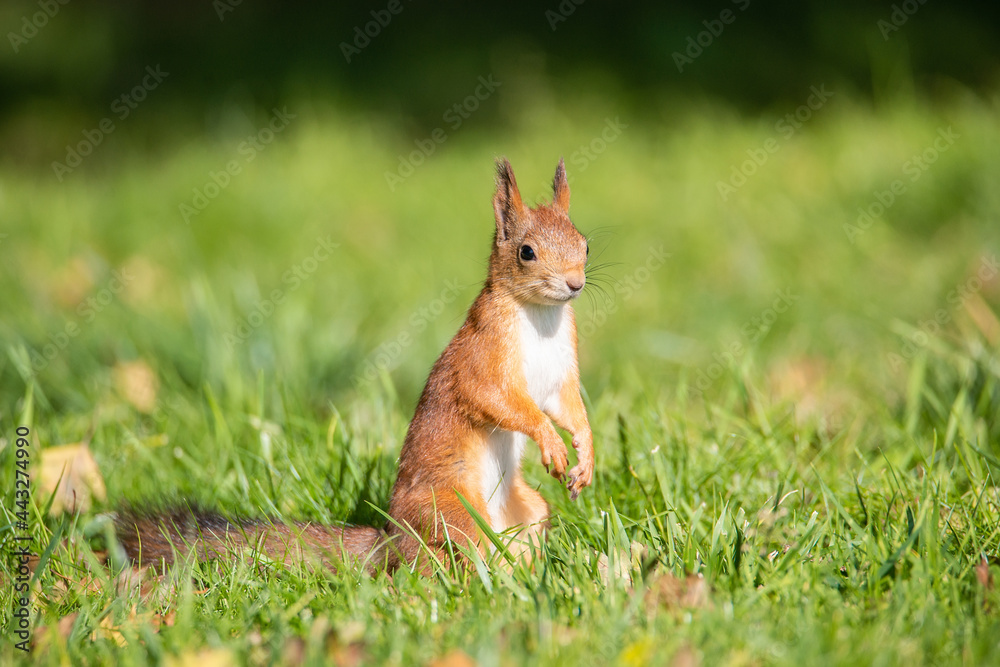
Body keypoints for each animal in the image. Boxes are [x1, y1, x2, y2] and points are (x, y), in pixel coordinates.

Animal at [118, 158, 594, 573]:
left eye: (585, 244)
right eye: (527, 252)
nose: (575, 283)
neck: (539, 316)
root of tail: (391, 538)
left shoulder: (560, 374)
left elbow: (569, 407)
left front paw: (584, 455)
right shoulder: (481, 356)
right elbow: (497, 400)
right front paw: (549, 440)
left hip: (528, 511)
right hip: (450, 511)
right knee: (443, 557)